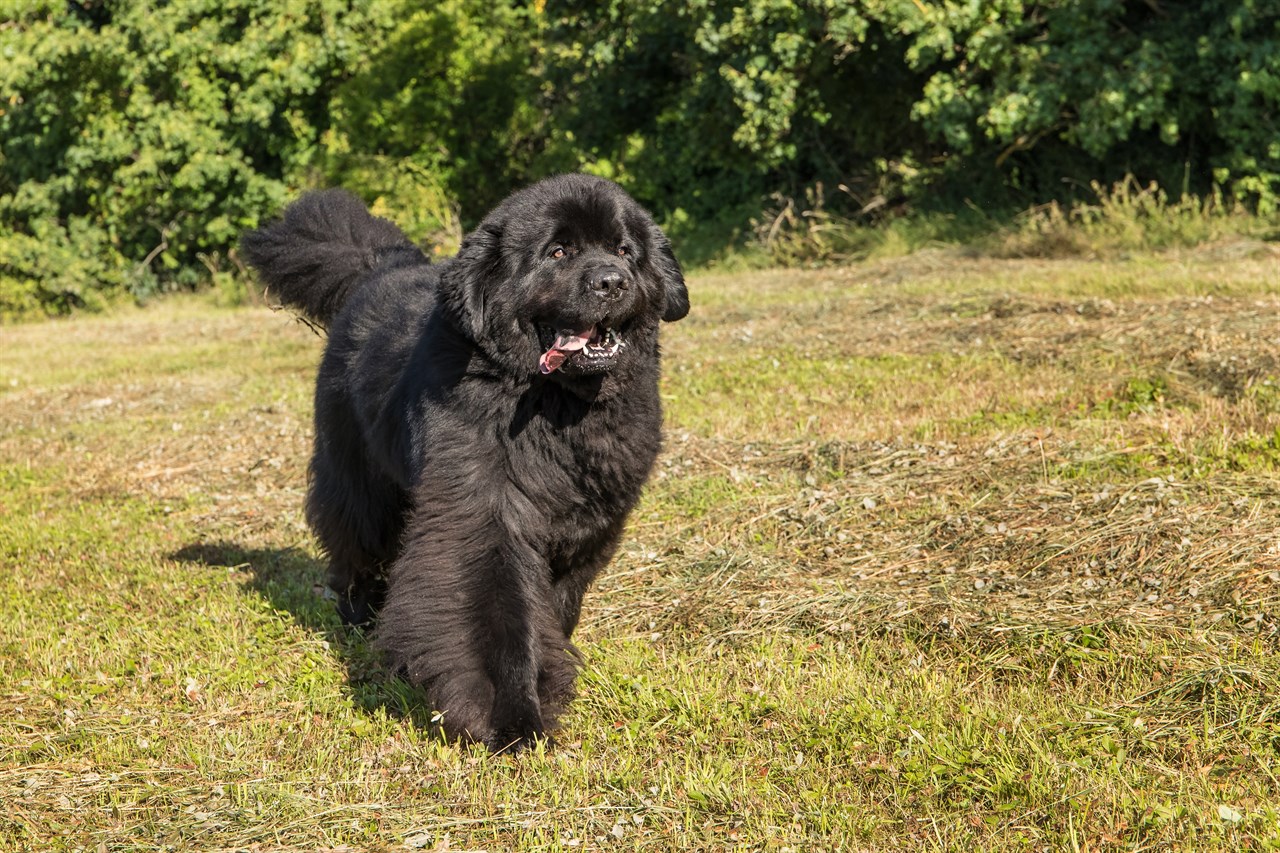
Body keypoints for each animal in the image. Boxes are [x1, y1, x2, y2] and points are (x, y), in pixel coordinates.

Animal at [243, 174, 691, 753]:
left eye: (623, 250)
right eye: (558, 252)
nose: (612, 281)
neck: (557, 405)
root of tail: (382, 266)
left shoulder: (593, 520)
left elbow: (558, 598)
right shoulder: (482, 509)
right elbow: (494, 602)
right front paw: (510, 713)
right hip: (359, 478)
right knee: (355, 545)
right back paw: (357, 621)